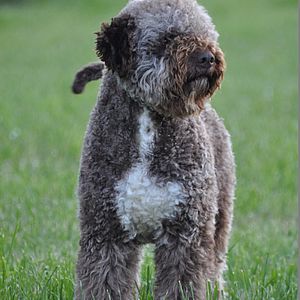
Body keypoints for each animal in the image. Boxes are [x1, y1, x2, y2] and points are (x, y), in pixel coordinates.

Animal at [72, 1, 234, 298]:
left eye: (207, 34)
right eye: (168, 37)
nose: (208, 58)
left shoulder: (185, 235)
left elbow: (183, 283)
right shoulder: (106, 233)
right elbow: (104, 282)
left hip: (220, 218)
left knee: (215, 268)